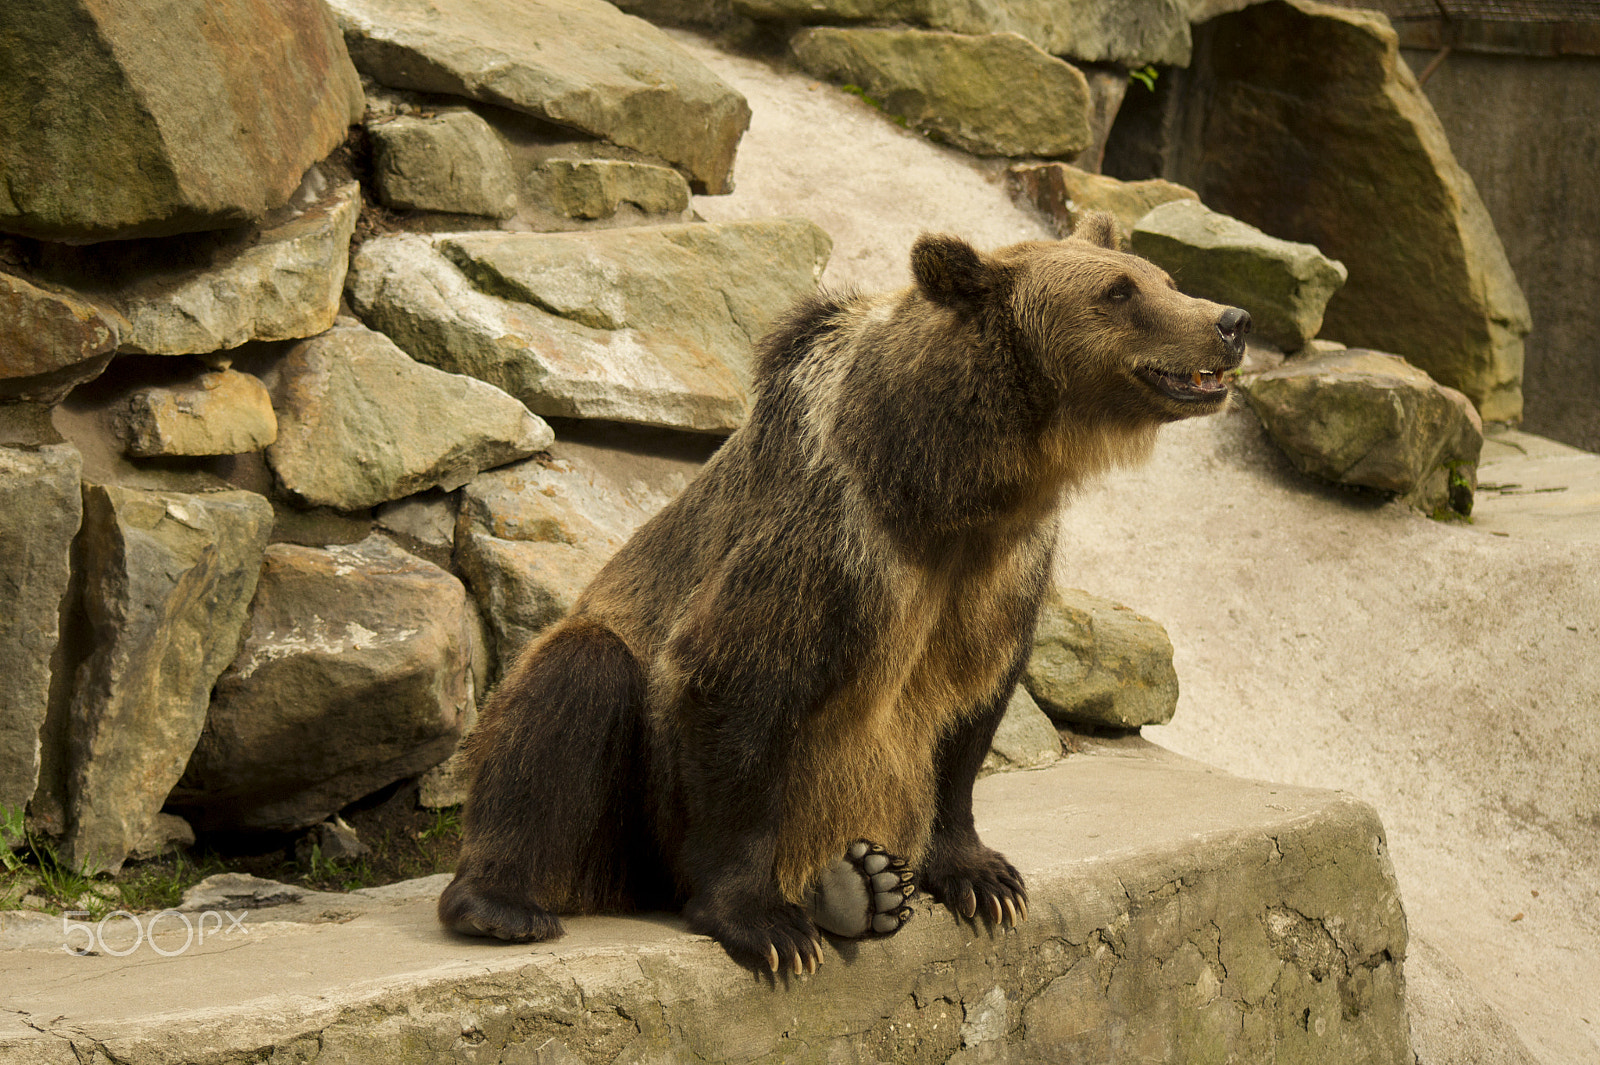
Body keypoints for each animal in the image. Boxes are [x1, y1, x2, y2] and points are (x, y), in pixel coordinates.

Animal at [438, 211, 1248, 972]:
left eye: (1163, 277)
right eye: (1119, 292)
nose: (1231, 322)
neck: (947, 481)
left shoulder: (1003, 569)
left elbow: (970, 711)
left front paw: (983, 877)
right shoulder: (832, 537)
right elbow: (737, 679)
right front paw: (765, 924)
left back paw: (861, 885)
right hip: (630, 799)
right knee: (576, 681)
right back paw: (499, 902)